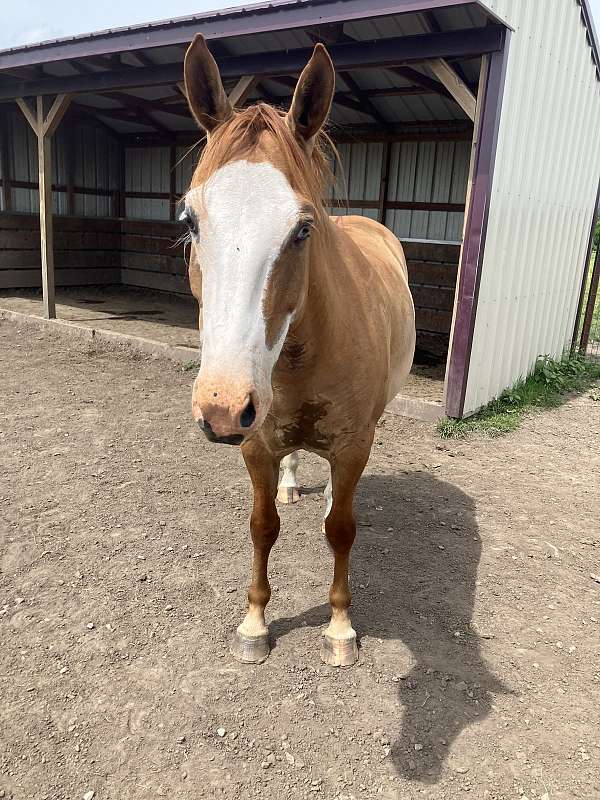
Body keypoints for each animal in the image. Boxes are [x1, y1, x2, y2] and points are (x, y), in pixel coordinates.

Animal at [181, 34, 416, 667]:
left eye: (303, 228)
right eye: (190, 219)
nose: (221, 406)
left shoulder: (354, 443)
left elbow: (341, 529)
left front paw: (339, 628)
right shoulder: (255, 443)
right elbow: (263, 526)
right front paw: (254, 624)